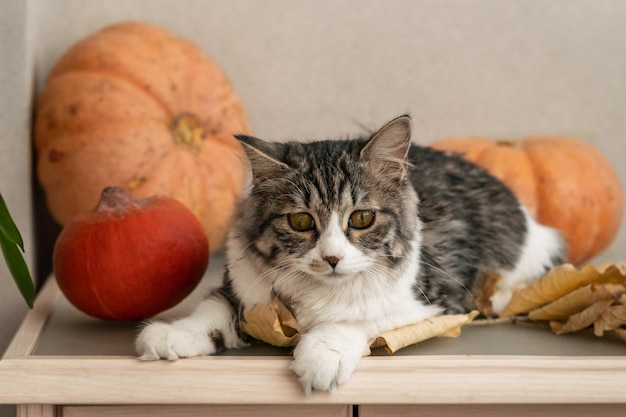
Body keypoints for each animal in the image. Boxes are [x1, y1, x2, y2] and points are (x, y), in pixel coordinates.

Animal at [134, 114, 564, 394]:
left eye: (361, 218)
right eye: (301, 221)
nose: (332, 258)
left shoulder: (434, 302)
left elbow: (356, 319)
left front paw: (320, 356)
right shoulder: (244, 289)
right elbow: (212, 309)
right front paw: (174, 333)